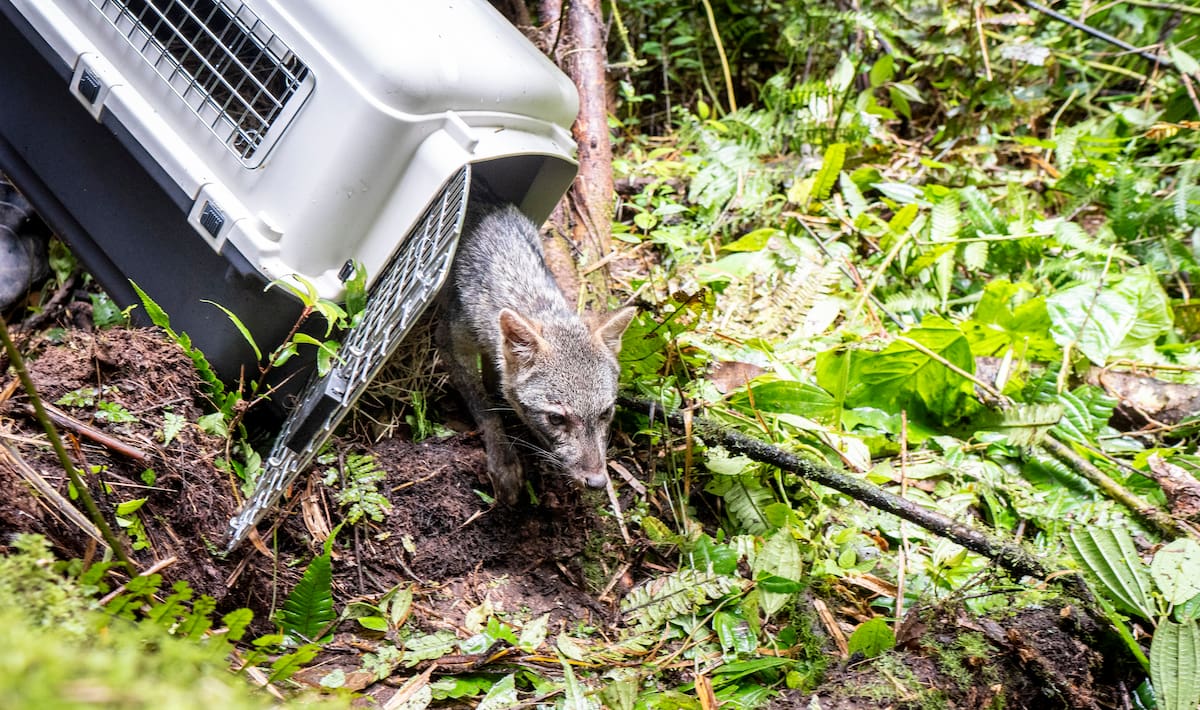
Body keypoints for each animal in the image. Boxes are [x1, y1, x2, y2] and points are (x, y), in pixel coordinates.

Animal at [436, 196, 635, 505]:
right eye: (556, 418)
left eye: (605, 413)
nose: (597, 482)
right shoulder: (450, 342)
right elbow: (485, 410)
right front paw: (504, 463)